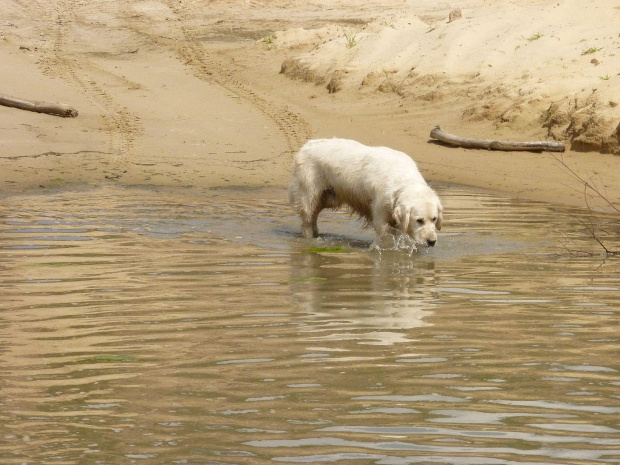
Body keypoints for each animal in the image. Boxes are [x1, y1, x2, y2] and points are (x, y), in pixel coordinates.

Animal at [290, 139, 440, 245]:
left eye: (434, 219)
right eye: (419, 220)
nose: (431, 242)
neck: (403, 181)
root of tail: (306, 145)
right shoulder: (380, 212)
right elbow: (386, 235)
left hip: (329, 197)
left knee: (314, 215)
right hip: (309, 191)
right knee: (307, 217)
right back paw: (309, 239)